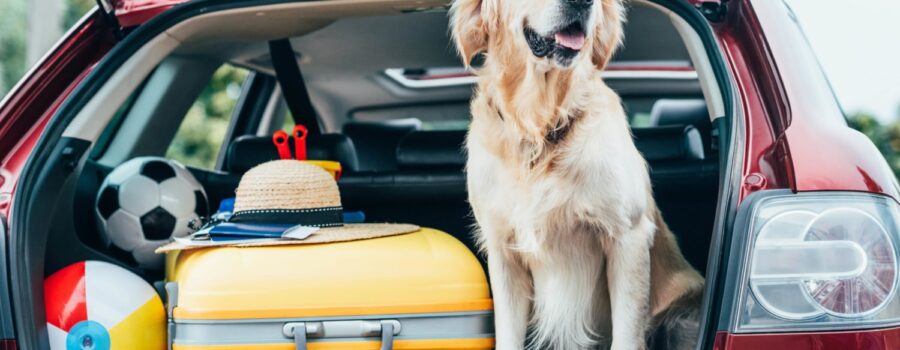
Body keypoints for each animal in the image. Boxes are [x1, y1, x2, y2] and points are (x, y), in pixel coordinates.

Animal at [454, 0, 708, 348]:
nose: (581, 3)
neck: (541, 127)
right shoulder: (503, 250)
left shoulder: (627, 236)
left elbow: (626, 335)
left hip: (683, 315)